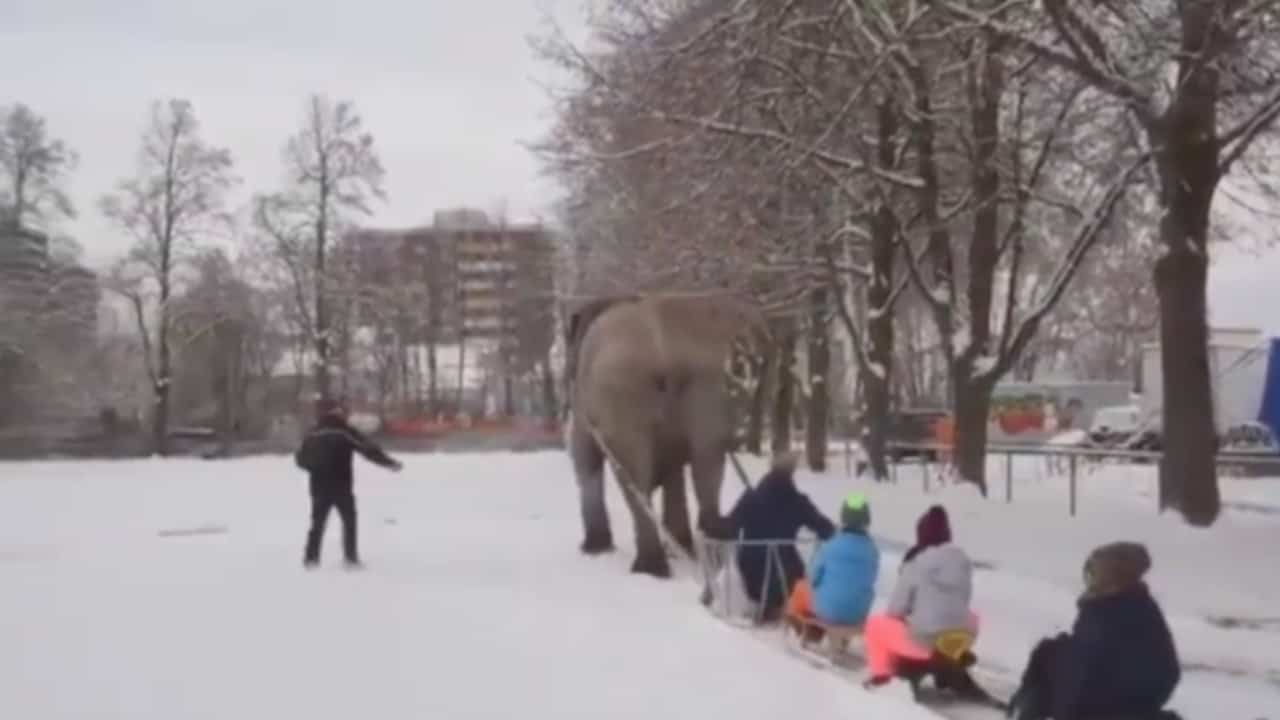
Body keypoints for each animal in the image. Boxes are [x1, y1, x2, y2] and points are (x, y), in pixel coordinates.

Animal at [563, 292, 762, 576]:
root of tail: (664, 350)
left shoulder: (582, 408)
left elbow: (582, 457)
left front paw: (593, 550)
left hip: (623, 390)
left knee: (634, 477)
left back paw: (650, 568)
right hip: (709, 384)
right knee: (708, 460)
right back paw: (710, 552)